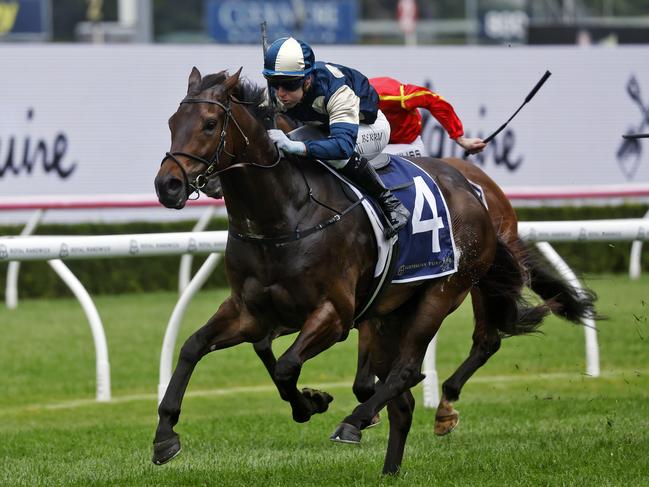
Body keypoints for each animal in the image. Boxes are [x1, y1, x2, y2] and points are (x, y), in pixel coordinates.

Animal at [154, 66, 548, 474]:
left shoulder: (335, 314)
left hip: (443, 292)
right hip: (393, 312)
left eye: (209, 123)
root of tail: (472, 192)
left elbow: (286, 366)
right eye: (172, 122)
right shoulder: (250, 312)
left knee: (413, 368)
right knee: (403, 403)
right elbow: (194, 347)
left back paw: (360, 420)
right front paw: (165, 434)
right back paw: (389, 468)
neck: (283, 216)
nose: (168, 185)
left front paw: (312, 403)